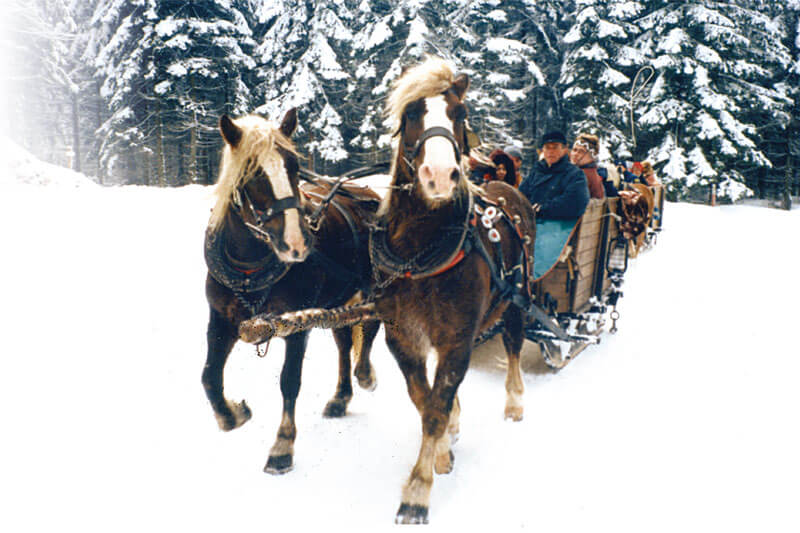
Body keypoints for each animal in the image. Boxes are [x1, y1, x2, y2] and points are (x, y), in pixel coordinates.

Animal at [205, 109, 382, 474]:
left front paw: (282, 447)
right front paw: (234, 414)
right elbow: (210, 378)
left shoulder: (297, 324)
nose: (297, 244)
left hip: (371, 288)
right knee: (344, 342)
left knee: (370, 326)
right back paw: (340, 397)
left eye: (294, 166)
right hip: (338, 297)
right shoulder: (220, 320)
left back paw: (365, 374)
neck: (250, 268)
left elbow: (289, 381)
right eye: (251, 172)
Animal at [370, 58, 536, 524]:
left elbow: (435, 409)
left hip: (517, 302)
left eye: (459, 114)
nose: (441, 176)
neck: (418, 255)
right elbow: (424, 400)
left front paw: (417, 492)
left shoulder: (457, 338)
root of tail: (505, 185)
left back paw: (514, 404)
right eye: (411, 113)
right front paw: (444, 448)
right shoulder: (403, 338)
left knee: (513, 346)